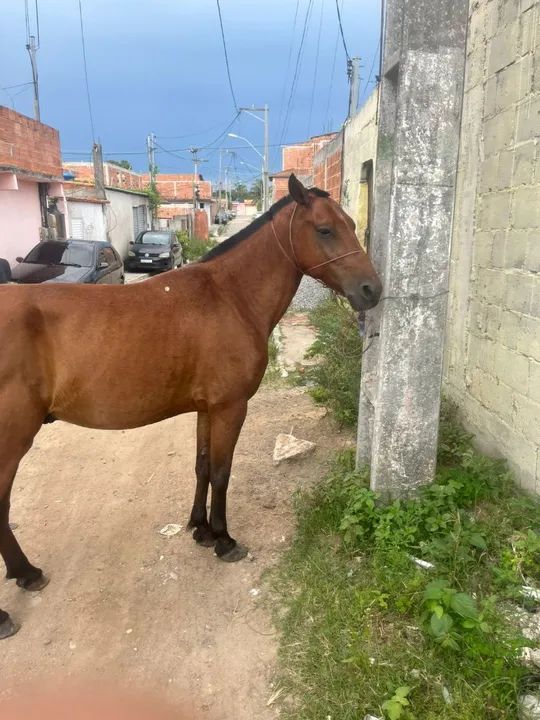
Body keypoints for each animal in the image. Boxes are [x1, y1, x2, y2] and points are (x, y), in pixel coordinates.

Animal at [0, 174, 381, 639]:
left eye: (348, 224)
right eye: (325, 230)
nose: (372, 290)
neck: (230, 297)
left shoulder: (206, 408)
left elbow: (201, 466)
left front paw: (199, 530)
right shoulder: (231, 407)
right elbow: (221, 472)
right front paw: (224, 539)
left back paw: (25, 574)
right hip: (11, 440)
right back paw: (15, 593)